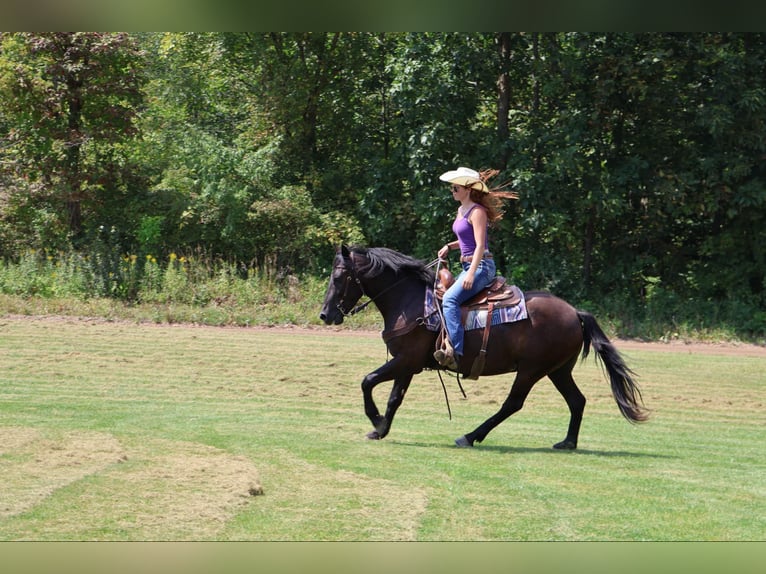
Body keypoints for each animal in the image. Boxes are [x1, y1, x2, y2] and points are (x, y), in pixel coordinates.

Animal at [318, 246, 648, 450]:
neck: (410, 301)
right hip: (558, 370)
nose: (325, 315)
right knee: (577, 401)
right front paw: (381, 428)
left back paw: (470, 435)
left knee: (513, 404)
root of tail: (575, 312)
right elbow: (394, 398)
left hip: (531, 370)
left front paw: (375, 421)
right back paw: (567, 442)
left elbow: (368, 381)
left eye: (338, 276)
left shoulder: (405, 360)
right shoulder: (407, 363)